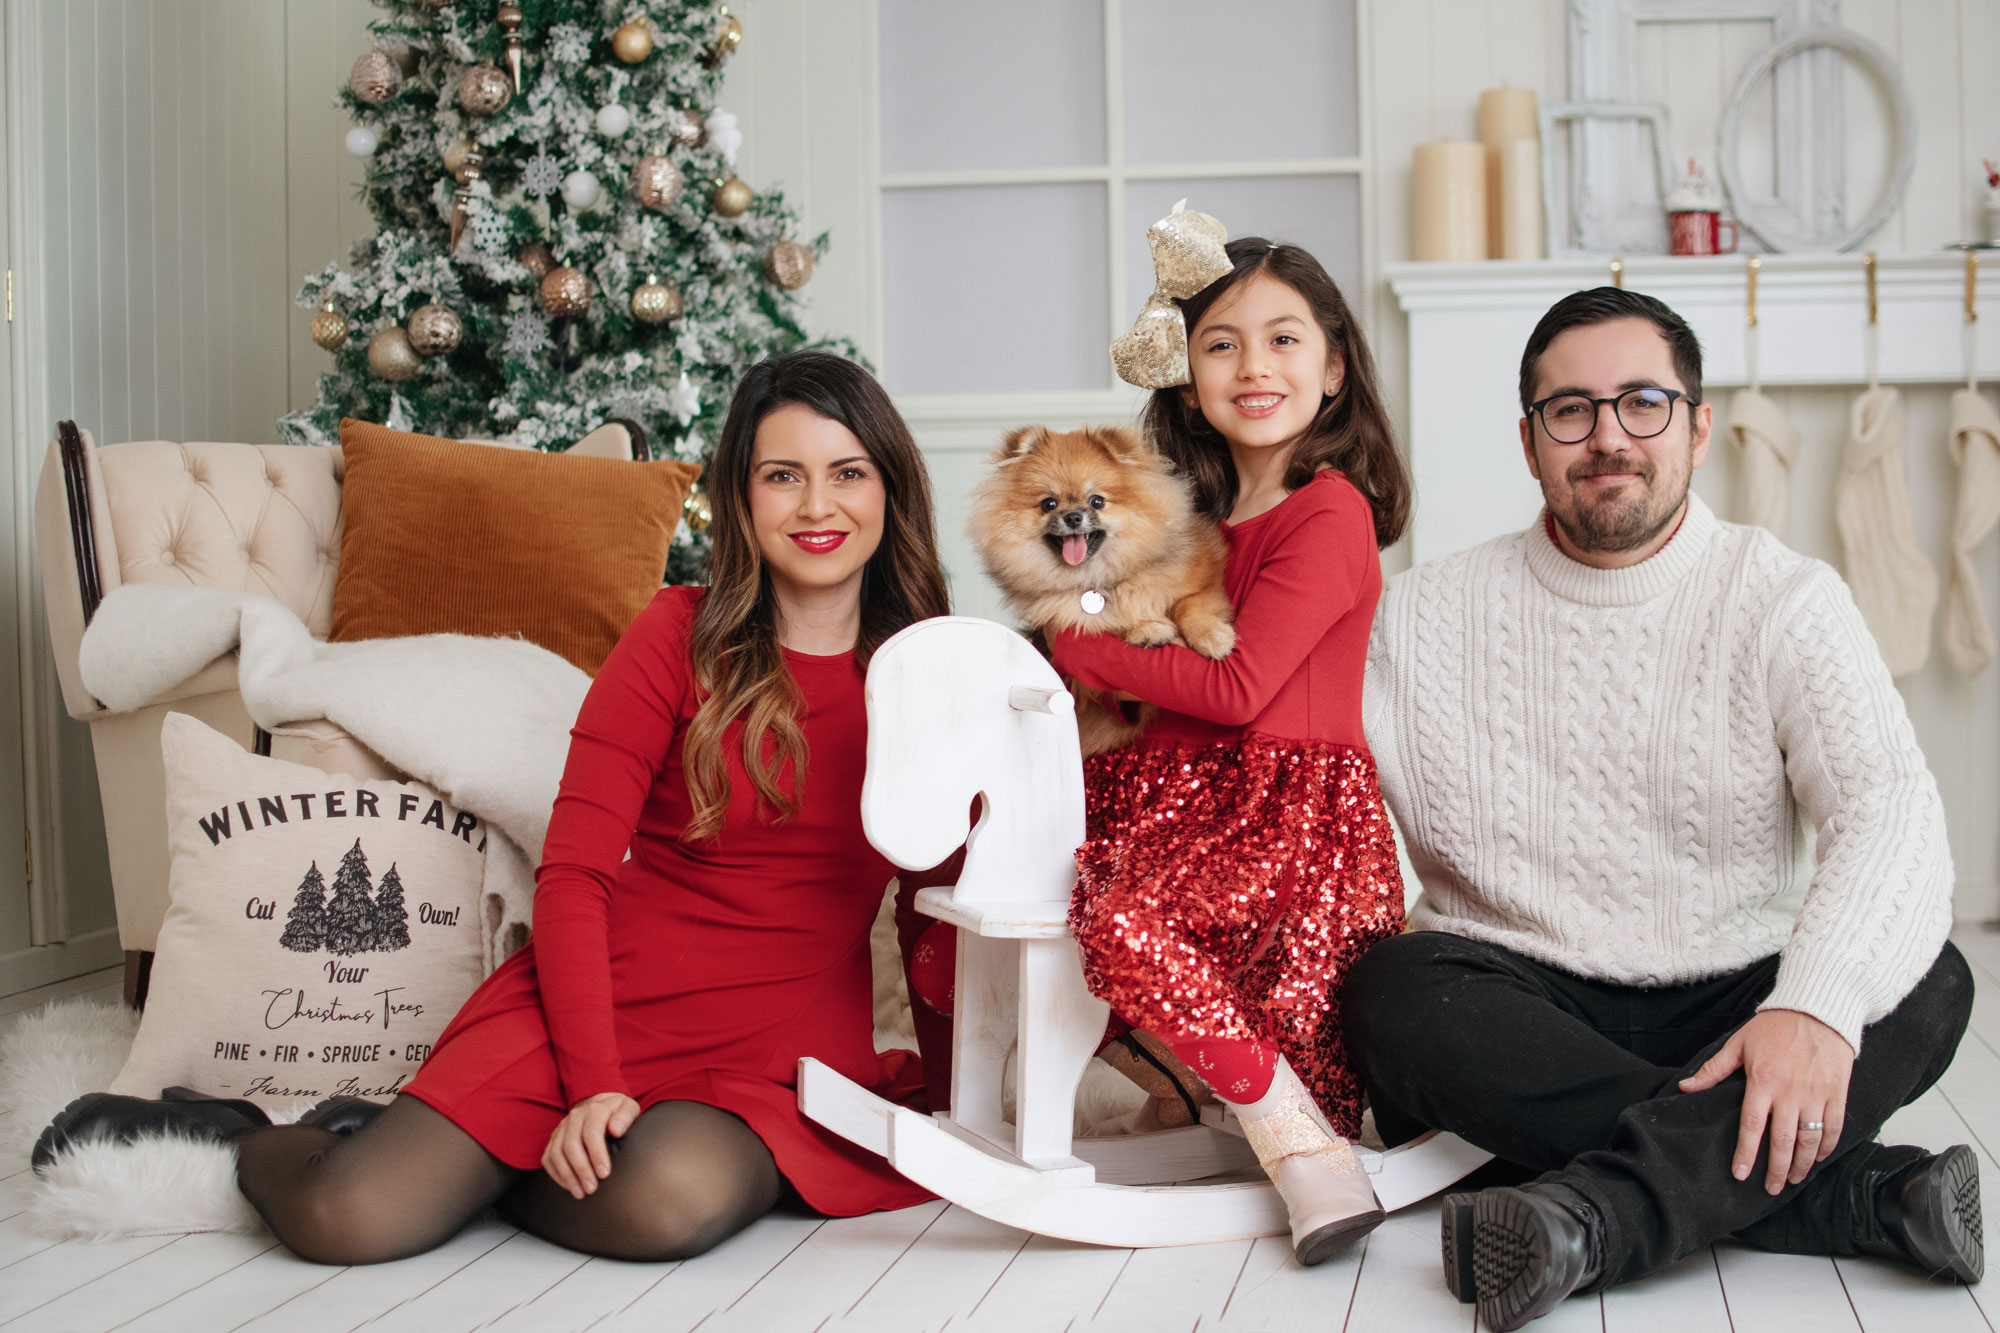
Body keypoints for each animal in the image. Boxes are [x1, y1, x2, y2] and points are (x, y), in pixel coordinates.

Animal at [969, 424, 1234, 754]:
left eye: (1097, 501)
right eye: (1048, 504)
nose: (1072, 516)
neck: (1100, 577)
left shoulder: (1206, 578)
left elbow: (1189, 605)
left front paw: (1213, 637)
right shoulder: (1069, 617)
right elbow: (1109, 621)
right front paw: (1148, 629)